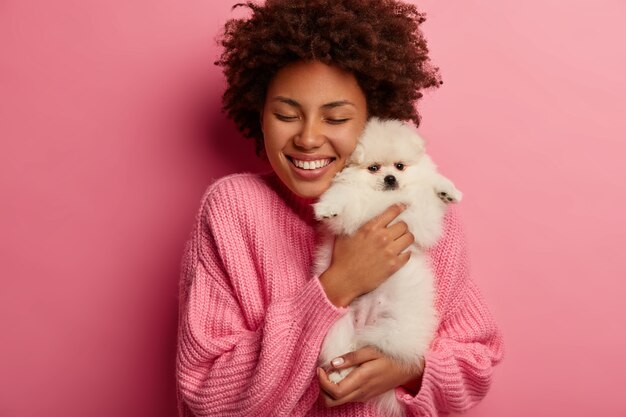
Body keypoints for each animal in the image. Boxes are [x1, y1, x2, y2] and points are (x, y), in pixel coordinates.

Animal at [314, 117, 460, 416]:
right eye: (374, 168)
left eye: (400, 166)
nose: (390, 178)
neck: (381, 199)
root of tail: (365, 328)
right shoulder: (352, 209)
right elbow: (341, 198)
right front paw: (327, 208)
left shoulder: (419, 217)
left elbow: (428, 189)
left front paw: (446, 191)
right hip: (337, 328)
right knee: (340, 355)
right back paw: (339, 374)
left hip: (394, 327)